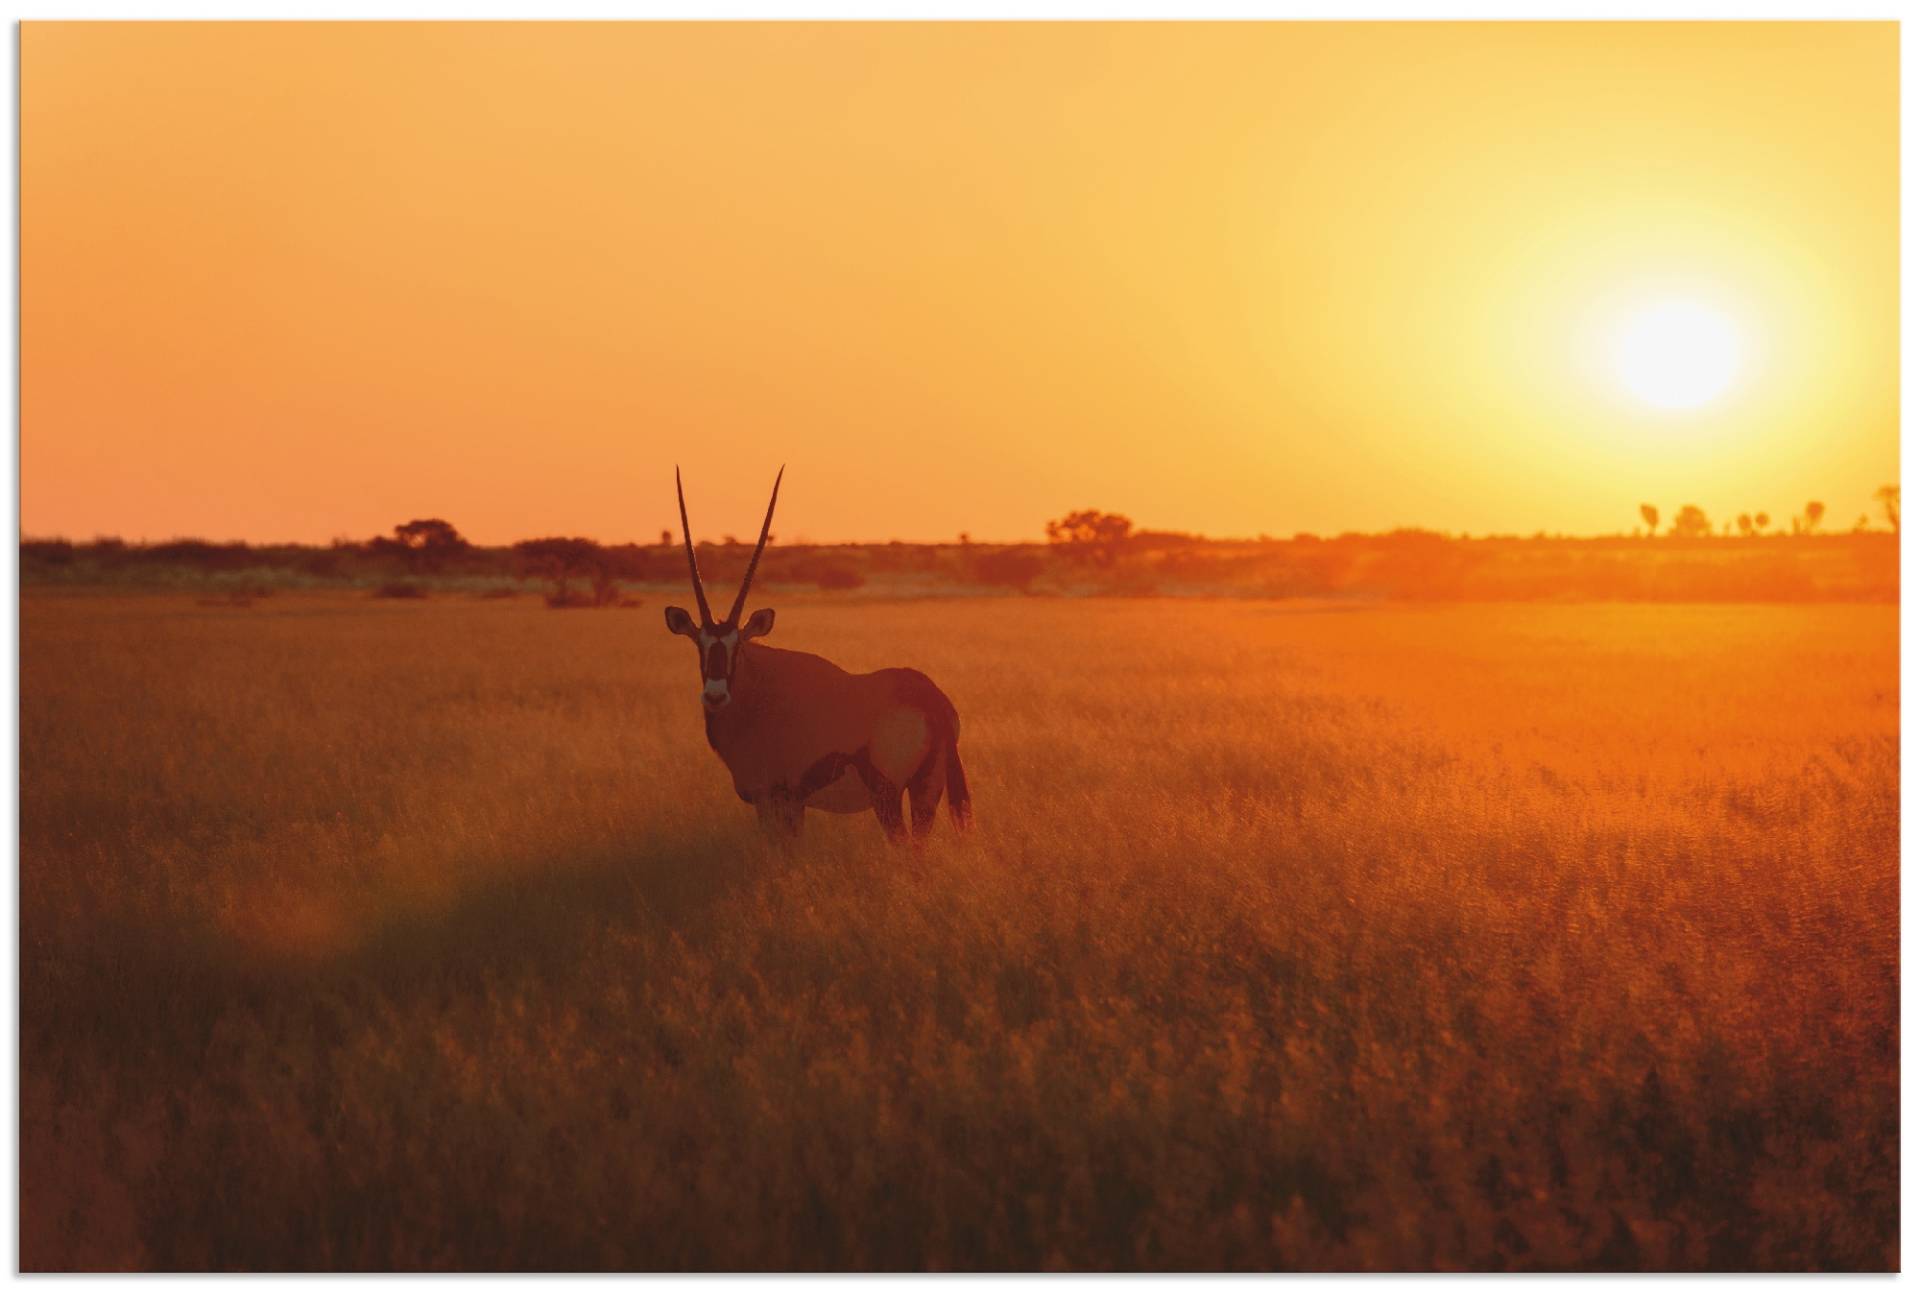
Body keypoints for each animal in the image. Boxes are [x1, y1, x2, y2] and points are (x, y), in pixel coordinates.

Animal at [675, 468, 975, 840]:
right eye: (699, 644)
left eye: (738, 645)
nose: (715, 695)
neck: (757, 693)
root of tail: (930, 700)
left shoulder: (779, 798)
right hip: (926, 789)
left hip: (887, 796)